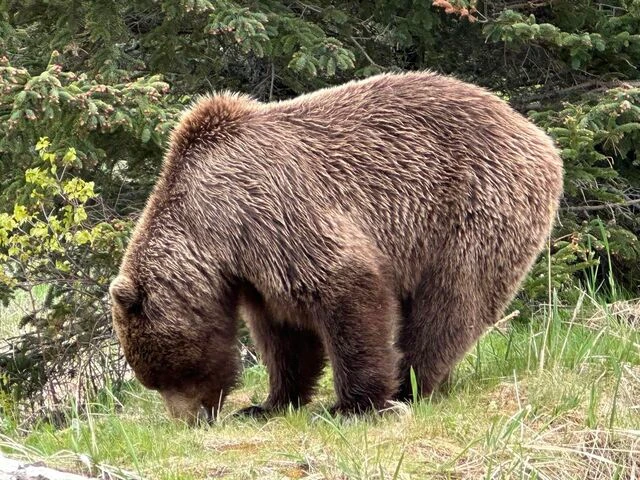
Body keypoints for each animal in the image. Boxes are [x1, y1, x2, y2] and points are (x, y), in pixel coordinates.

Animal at [109, 71, 563, 422]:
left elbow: (346, 287)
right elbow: (284, 335)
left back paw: (412, 386)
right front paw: (267, 404)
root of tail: (537, 135)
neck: (212, 230)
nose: (190, 420)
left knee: (451, 303)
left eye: (167, 374)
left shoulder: (271, 211)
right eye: (155, 379)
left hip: (473, 210)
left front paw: (352, 405)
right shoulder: (255, 269)